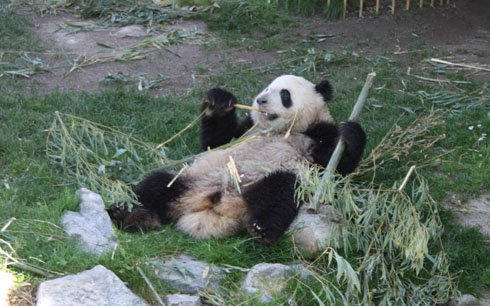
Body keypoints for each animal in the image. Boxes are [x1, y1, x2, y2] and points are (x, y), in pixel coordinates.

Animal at [108, 75, 368, 245]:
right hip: (194, 178)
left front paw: (352, 133)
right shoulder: (246, 130)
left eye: (284, 94)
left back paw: (261, 228)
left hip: (269, 179)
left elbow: (335, 170)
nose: (261, 100)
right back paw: (131, 214)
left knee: (281, 192)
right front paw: (219, 100)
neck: (281, 130)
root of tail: (214, 206)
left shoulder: (317, 135)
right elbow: (216, 141)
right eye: (267, 87)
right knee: (156, 185)